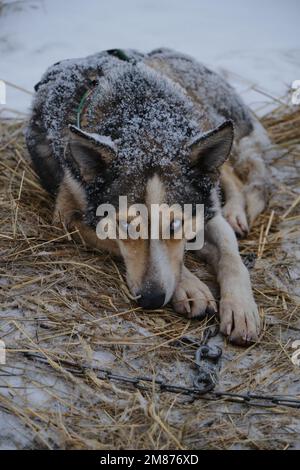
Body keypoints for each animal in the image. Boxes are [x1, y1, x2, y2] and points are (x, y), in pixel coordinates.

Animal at [26, 48, 270, 346]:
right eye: (125, 224)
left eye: (175, 224)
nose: (151, 300)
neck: (143, 118)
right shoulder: (68, 217)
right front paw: (189, 285)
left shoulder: (205, 206)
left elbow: (229, 252)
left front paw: (240, 307)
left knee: (231, 175)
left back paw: (235, 212)